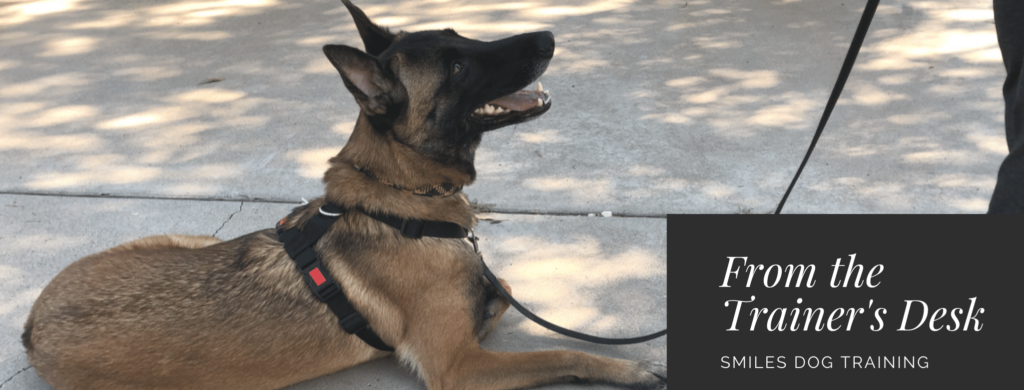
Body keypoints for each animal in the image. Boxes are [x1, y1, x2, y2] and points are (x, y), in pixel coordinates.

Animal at [22, 1, 671, 386]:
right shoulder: (457, 366)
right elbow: (557, 349)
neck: (403, 191)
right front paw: (628, 366)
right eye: (458, 68)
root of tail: (33, 328)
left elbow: (503, 287)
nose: (549, 34)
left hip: (194, 237)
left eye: (462, 36)